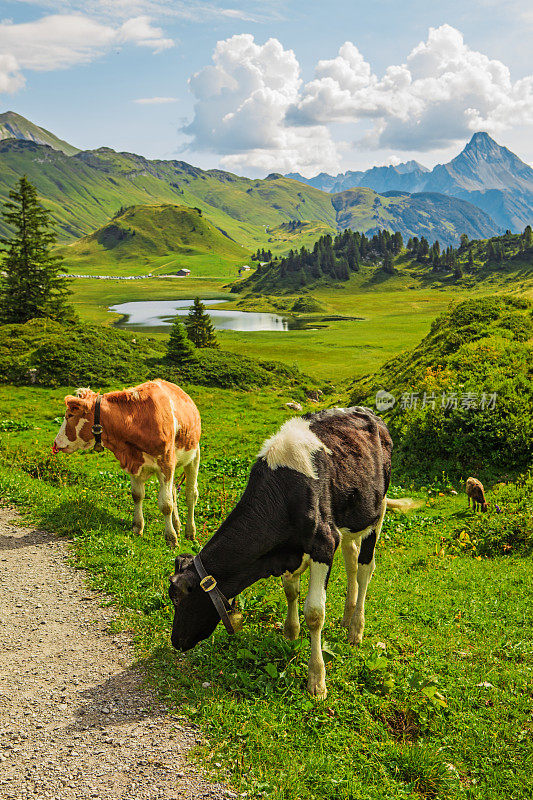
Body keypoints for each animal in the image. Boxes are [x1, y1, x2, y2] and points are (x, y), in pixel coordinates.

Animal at [52, 380, 202, 544]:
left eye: (70, 415)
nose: (56, 442)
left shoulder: (166, 463)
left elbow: (166, 504)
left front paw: (170, 537)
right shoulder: (133, 463)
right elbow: (137, 495)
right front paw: (137, 527)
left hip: (194, 456)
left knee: (191, 494)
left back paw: (190, 531)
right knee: (174, 492)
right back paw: (177, 525)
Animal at [168, 410, 396, 696]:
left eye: (178, 599)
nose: (175, 641)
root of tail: (370, 413)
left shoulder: (324, 543)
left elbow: (315, 613)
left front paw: (317, 680)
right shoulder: (289, 551)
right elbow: (290, 591)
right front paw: (290, 632)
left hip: (377, 512)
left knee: (366, 568)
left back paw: (355, 629)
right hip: (348, 521)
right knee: (351, 559)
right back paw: (347, 615)